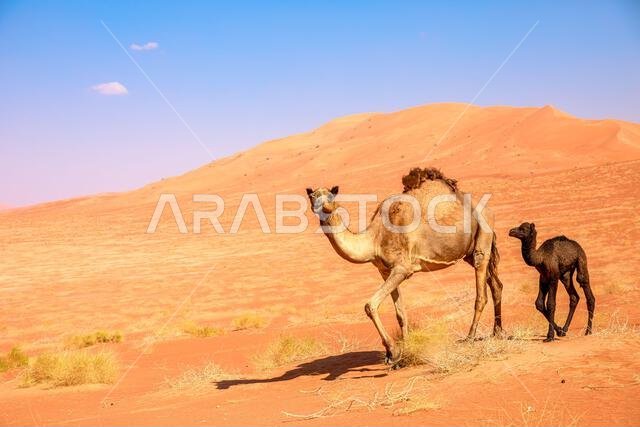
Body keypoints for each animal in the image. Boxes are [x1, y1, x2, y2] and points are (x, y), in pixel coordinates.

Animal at [306, 167, 504, 365]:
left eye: (331, 196)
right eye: (313, 196)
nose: (327, 207)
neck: (375, 239)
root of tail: (487, 209)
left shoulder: (402, 268)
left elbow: (370, 305)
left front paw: (392, 352)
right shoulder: (385, 271)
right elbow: (400, 313)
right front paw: (403, 351)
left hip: (482, 239)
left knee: (481, 292)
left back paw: (470, 337)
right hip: (469, 252)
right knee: (496, 285)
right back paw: (498, 332)